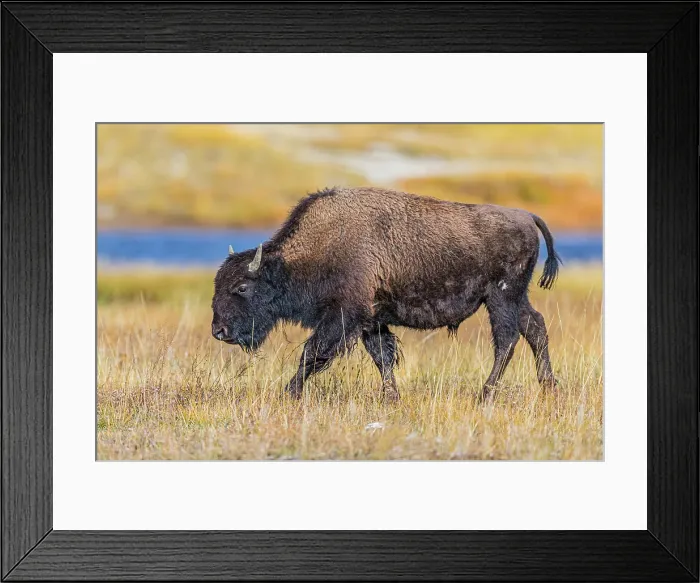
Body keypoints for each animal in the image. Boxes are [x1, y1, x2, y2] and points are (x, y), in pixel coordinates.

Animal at [212, 186, 561, 401]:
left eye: (242, 287)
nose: (219, 331)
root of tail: (527, 216)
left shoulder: (343, 317)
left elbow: (312, 353)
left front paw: (289, 393)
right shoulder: (371, 321)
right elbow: (382, 358)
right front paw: (391, 397)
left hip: (501, 297)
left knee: (507, 339)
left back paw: (486, 393)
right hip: (515, 298)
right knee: (535, 327)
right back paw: (548, 386)